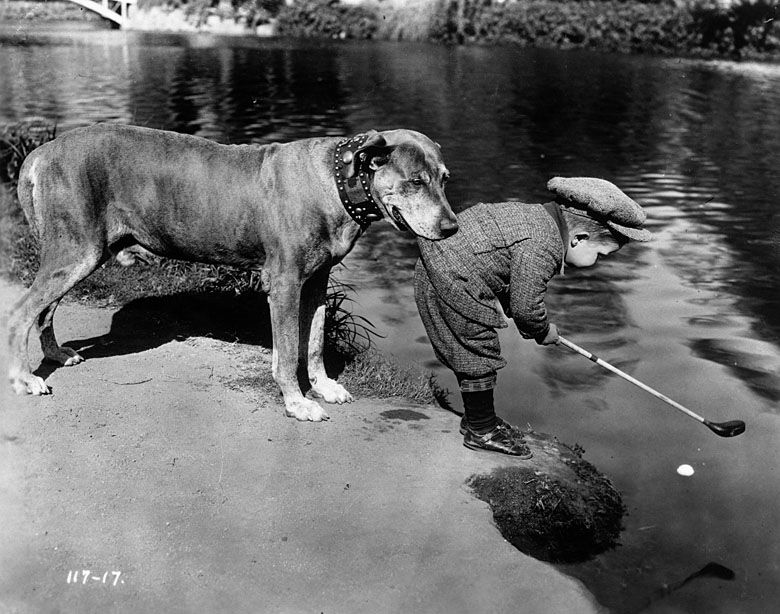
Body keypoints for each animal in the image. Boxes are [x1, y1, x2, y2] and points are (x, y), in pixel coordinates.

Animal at [7, 125, 458, 424]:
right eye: (415, 181)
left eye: (444, 179)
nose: (452, 227)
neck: (336, 181)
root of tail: (42, 150)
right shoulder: (285, 284)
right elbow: (288, 351)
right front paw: (297, 402)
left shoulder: (316, 282)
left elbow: (312, 341)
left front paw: (324, 386)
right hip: (76, 251)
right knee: (21, 312)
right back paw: (25, 378)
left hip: (79, 253)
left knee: (44, 310)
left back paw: (56, 354)